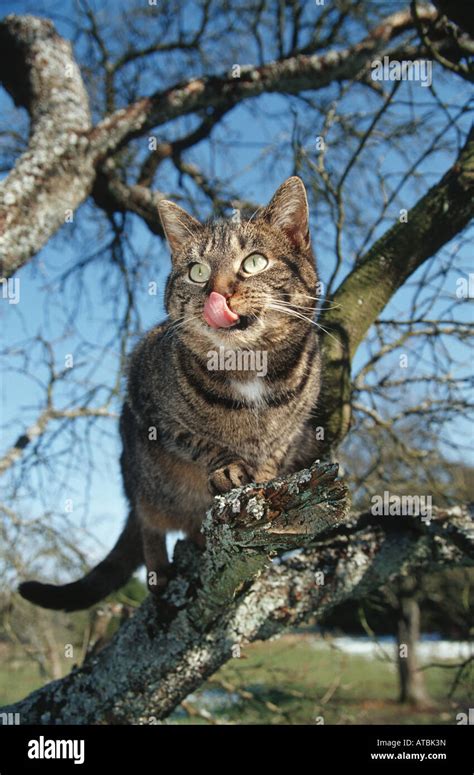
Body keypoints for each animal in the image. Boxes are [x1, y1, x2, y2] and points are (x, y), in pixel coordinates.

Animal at [18, 176, 322, 612]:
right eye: (197, 271)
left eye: (254, 262)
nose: (216, 293)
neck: (248, 367)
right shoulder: (149, 408)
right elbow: (199, 441)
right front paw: (228, 467)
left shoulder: (293, 433)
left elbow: (273, 458)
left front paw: (261, 483)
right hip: (142, 477)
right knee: (149, 521)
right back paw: (160, 570)